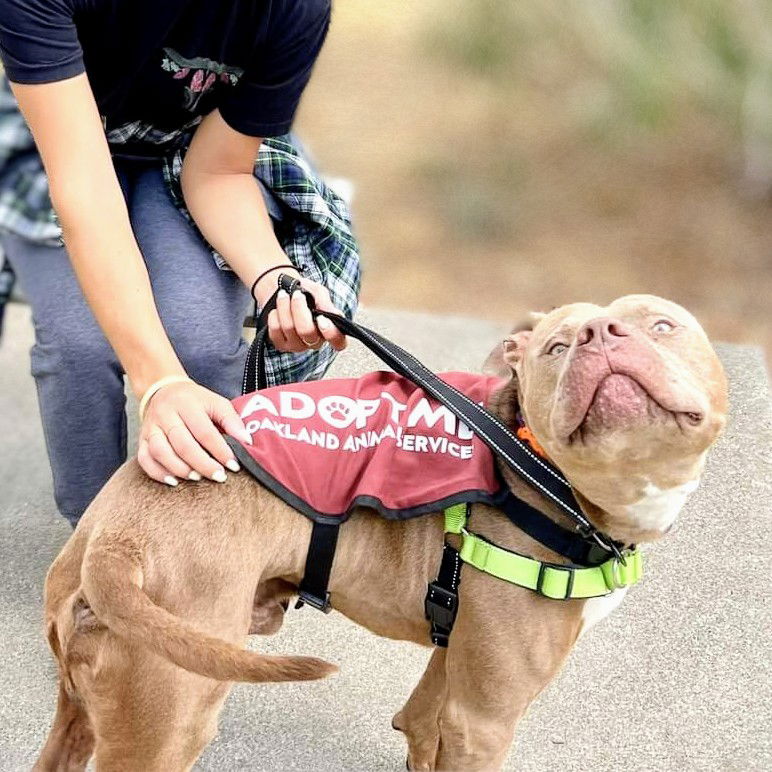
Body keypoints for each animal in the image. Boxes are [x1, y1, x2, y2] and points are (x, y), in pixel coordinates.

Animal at [36, 292, 728, 768]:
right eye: (556, 349)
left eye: (663, 325)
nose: (598, 334)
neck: (535, 469)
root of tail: (115, 541)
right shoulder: (485, 721)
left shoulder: (454, 666)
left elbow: (418, 724)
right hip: (173, 717)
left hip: (84, 709)